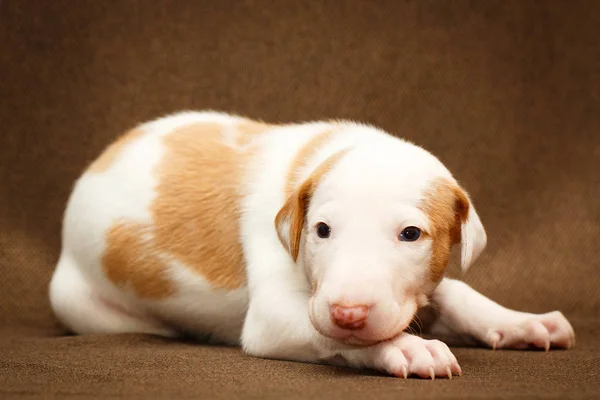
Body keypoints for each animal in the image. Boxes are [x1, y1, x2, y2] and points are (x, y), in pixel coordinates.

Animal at [49, 111, 576, 380]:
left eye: (411, 234)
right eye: (321, 230)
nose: (348, 313)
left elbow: (455, 291)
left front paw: (519, 321)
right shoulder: (275, 315)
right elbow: (333, 336)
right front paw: (408, 348)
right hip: (85, 306)